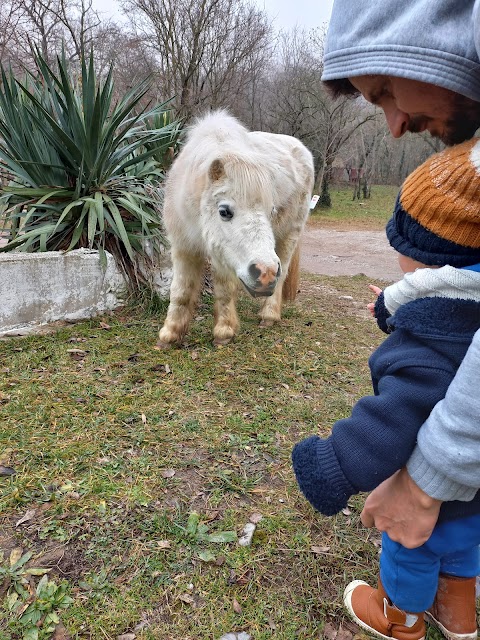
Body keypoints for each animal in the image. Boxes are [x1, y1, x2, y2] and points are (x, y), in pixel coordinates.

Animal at [158, 112, 316, 348]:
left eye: (271, 211)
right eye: (224, 211)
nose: (266, 274)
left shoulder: (223, 255)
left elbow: (224, 290)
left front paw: (223, 332)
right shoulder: (183, 245)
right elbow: (180, 291)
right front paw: (169, 335)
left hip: (289, 236)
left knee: (283, 271)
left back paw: (268, 315)